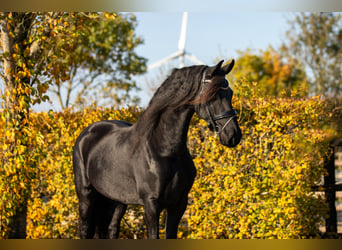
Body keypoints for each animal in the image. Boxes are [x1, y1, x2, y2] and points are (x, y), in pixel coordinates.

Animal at [73, 59, 242, 239]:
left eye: (230, 93)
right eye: (213, 95)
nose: (233, 135)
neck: (164, 149)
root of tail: (86, 134)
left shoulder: (178, 204)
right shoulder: (151, 204)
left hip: (116, 200)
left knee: (111, 228)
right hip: (86, 196)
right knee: (85, 229)